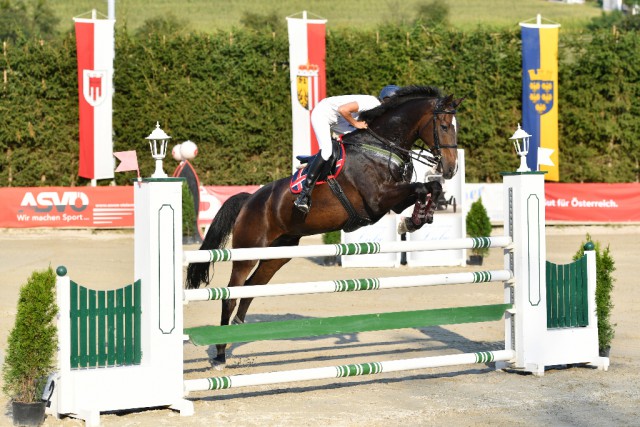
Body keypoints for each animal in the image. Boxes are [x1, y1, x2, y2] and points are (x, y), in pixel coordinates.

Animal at [188, 86, 462, 368]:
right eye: (443, 126)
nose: (451, 169)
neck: (381, 145)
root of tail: (249, 199)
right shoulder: (379, 199)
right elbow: (421, 187)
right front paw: (415, 219)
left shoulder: (392, 202)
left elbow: (429, 187)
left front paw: (415, 219)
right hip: (247, 252)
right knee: (231, 293)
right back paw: (220, 354)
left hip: (278, 253)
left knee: (252, 287)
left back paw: (237, 332)